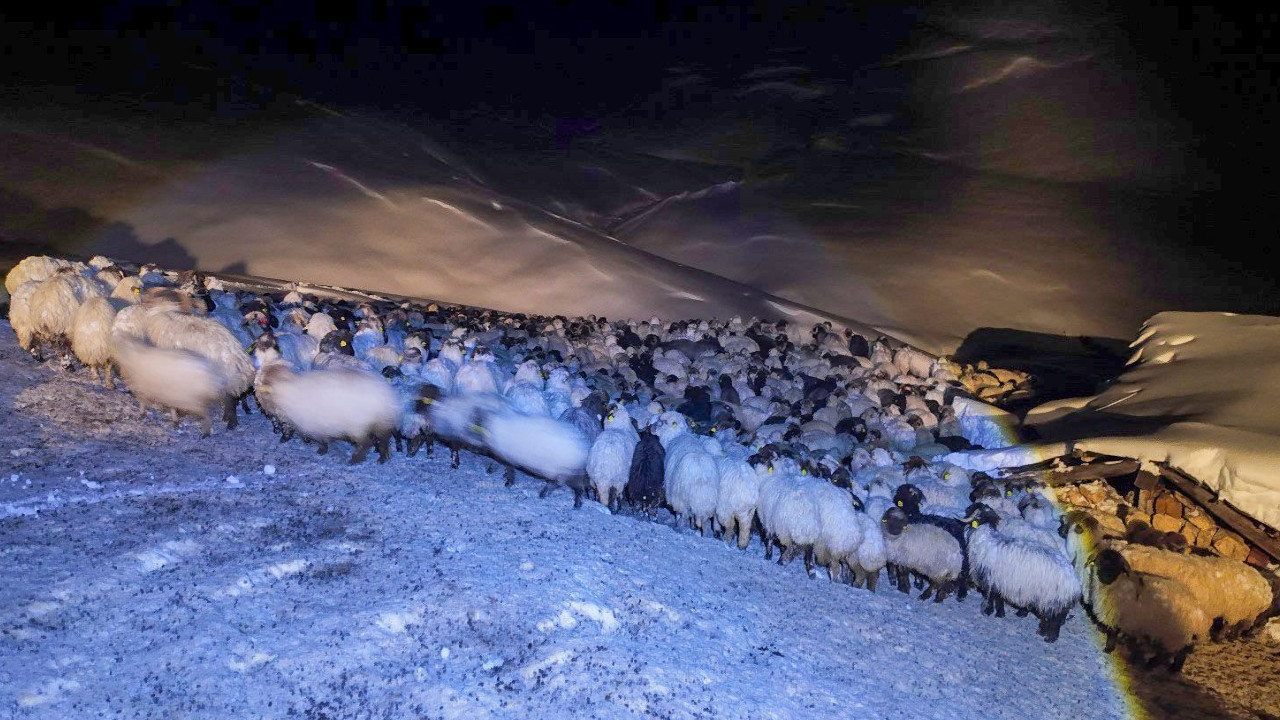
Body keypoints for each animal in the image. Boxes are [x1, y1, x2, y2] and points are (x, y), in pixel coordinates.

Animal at [962, 502, 1080, 640]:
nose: (966, 510)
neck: (985, 538)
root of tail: (1075, 583)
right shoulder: (1000, 580)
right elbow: (999, 597)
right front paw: (1000, 613)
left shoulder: (990, 577)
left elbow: (990, 596)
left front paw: (987, 611)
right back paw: (1042, 632)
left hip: (1052, 599)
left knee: (1054, 619)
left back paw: (1049, 638)